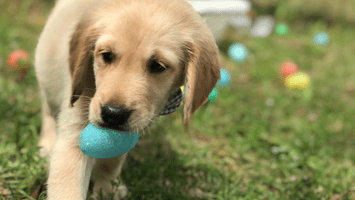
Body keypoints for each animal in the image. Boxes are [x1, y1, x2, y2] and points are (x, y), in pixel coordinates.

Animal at [34, 0, 221, 198]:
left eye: (158, 66)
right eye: (106, 55)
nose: (113, 113)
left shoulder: (129, 130)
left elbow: (112, 160)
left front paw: (108, 188)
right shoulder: (73, 139)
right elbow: (68, 190)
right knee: (48, 112)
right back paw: (47, 144)